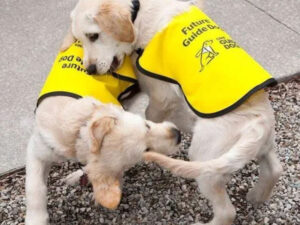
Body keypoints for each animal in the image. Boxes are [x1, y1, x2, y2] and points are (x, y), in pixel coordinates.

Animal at [25, 43, 180, 224]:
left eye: (146, 125)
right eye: (147, 150)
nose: (177, 135)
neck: (78, 129)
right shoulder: (39, 148)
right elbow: (34, 187)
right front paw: (35, 218)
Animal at [62, 0, 284, 225]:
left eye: (93, 36)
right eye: (80, 40)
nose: (89, 69)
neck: (140, 15)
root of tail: (258, 122)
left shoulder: (160, 98)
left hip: (205, 161)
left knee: (227, 212)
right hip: (260, 147)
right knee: (275, 169)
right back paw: (257, 196)